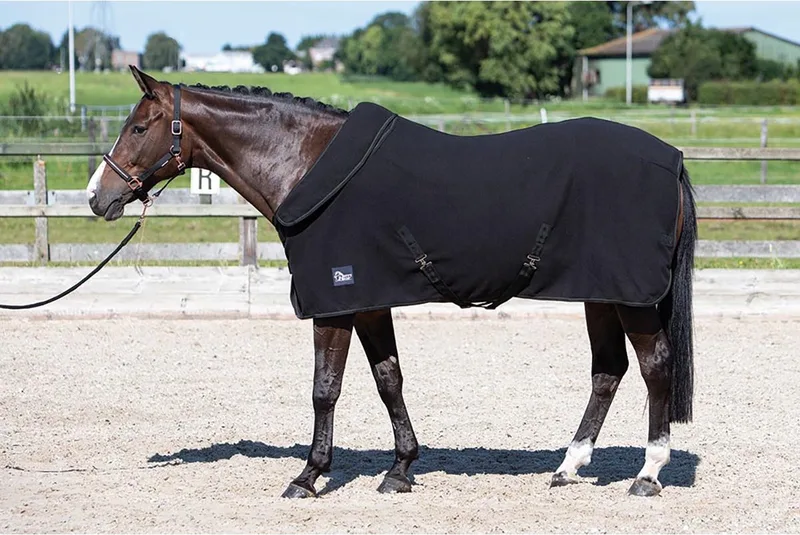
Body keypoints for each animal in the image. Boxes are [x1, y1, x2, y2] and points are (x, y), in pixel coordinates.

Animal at [87, 66, 697, 498]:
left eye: (138, 127)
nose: (97, 196)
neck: (307, 164)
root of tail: (672, 159)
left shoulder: (336, 303)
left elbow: (325, 388)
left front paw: (308, 476)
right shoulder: (370, 302)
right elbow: (389, 380)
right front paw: (400, 469)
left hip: (630, 298)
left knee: (655, 365)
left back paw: (648, 473)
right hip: (602, 293)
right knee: (608, 371)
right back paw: (569, 466)